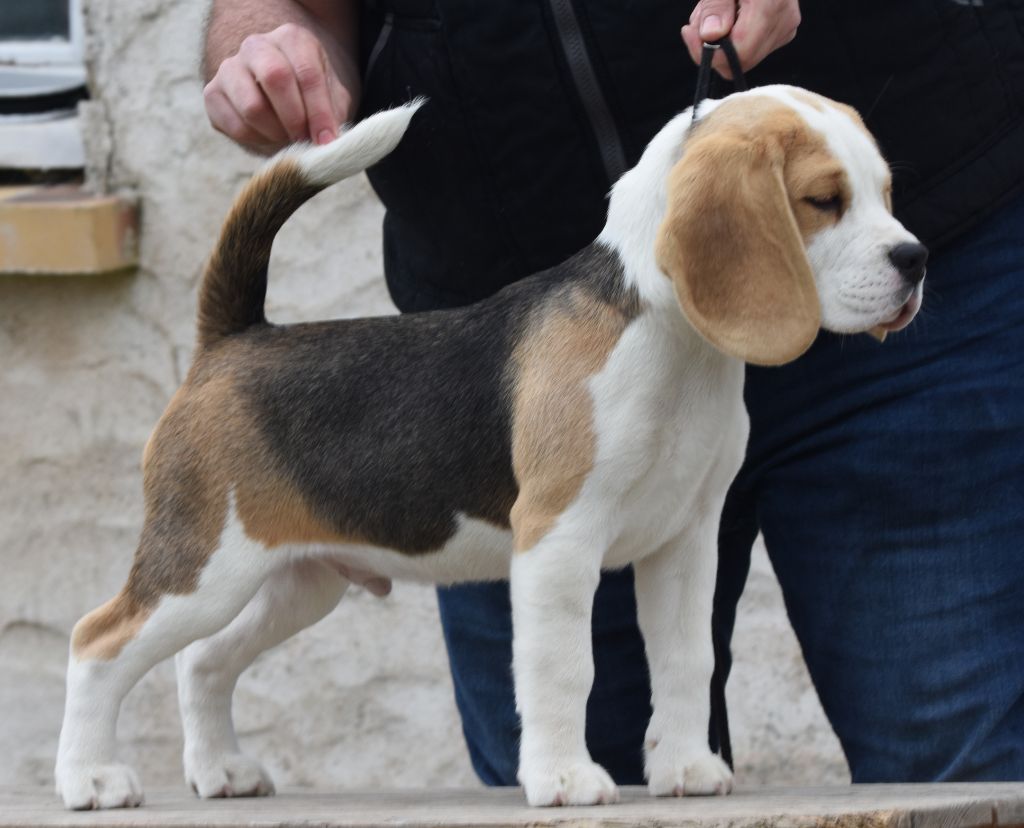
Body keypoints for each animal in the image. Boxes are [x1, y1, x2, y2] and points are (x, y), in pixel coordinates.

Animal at [56, 86, 929, 810]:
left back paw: (221, 771)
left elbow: (686, 658)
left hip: (298, 579)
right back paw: (90, 779)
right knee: (98, 641)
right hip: (203, 567)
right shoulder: (558, 540)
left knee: (201, 662)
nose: (915, 260)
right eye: (823, 200)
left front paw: (684, 768)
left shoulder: (686, 540)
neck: (666, 334)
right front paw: (566, 780)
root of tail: (232, 340)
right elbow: (563, 667)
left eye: (885, 192)